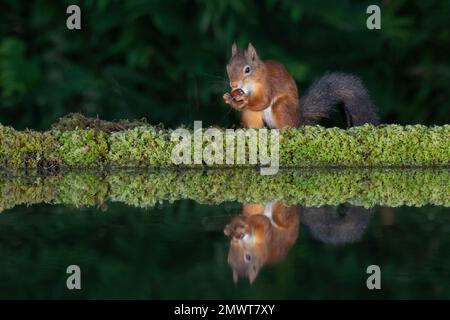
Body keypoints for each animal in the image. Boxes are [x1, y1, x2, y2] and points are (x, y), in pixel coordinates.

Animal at [223, 42, 378, 129]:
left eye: (247, 69)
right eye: (228, 67)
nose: (233, 85)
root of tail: (298, 119)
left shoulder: (268, 85)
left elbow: (263, 101)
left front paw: (244, 99)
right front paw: (229, 98)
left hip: (282, 107)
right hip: (251, 114)